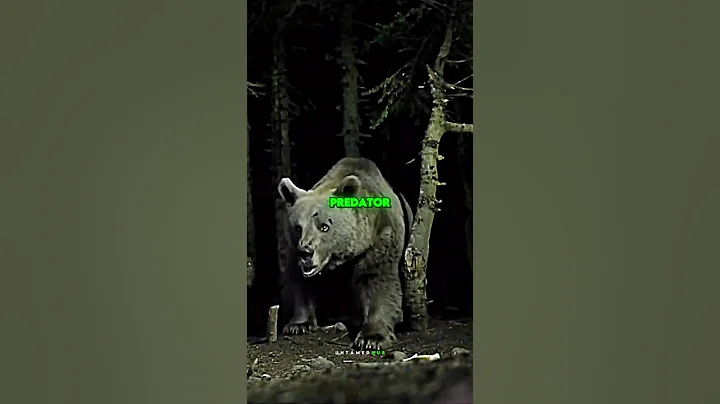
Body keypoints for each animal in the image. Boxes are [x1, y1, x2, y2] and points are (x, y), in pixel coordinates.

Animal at [277, 157, 413, 350]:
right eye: (298, 227)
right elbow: (301, 283)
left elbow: (378, 280)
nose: (306, 252)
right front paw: (298, 324)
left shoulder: (379, 238)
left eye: (324, 226)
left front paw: (372, 338)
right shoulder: (294, 251)